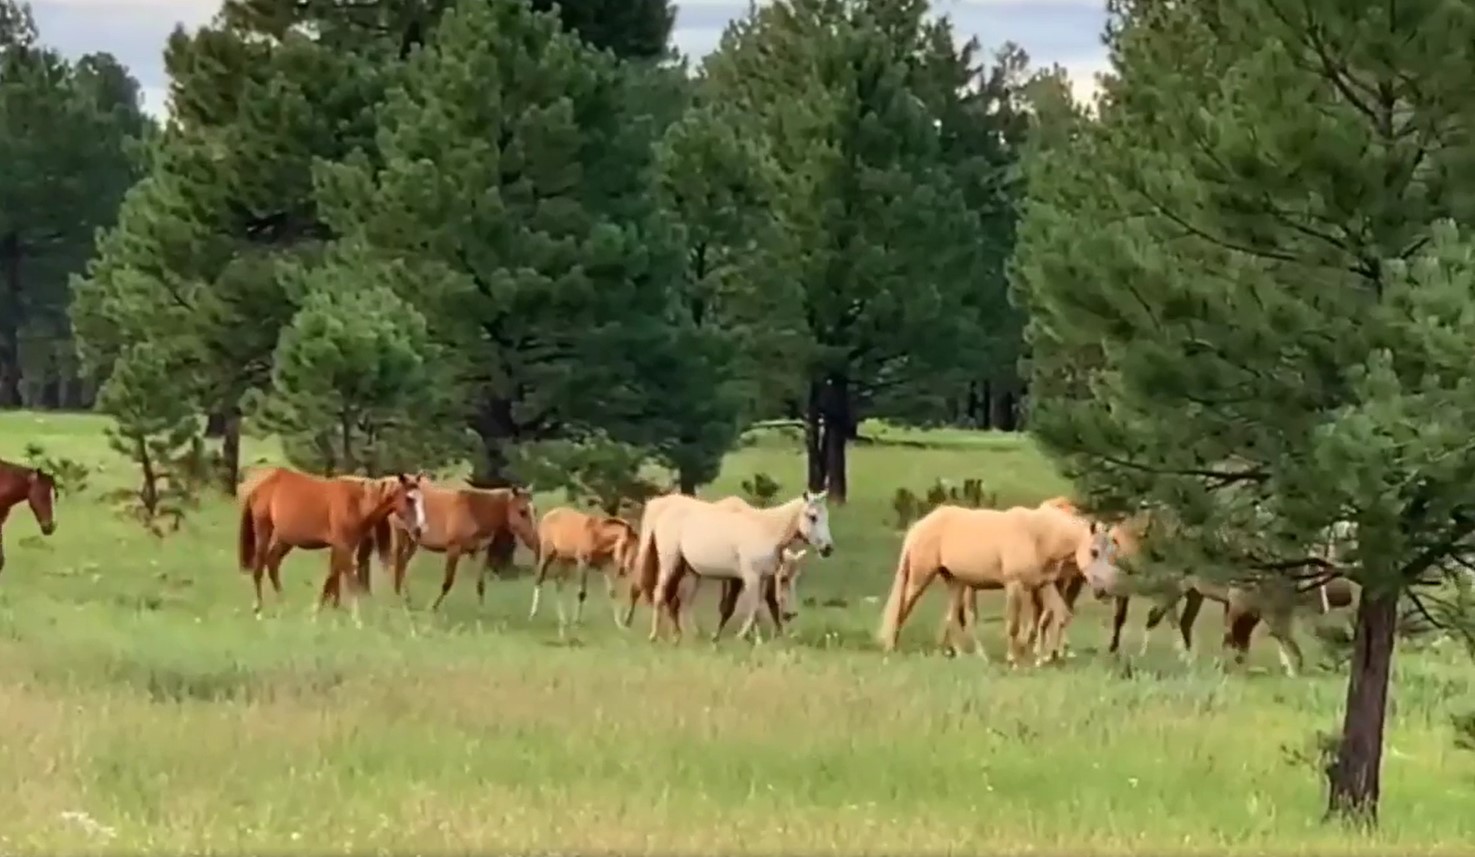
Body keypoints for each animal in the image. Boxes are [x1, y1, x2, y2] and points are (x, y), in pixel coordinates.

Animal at [237, 467, 425, 621]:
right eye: (409, 499)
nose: (420, 529)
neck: (356, 503)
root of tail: (259, 487)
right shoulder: (343, 546)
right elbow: (349, 578)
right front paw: (356, 619)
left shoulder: (344, 546)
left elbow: (332, 576)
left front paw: (318, 612)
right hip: (264, 530)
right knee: (259, 567)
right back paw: (259, 608)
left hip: (286, 539)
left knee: (272, 562)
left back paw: (283, 604)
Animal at [372, 484, 539, 610]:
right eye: (522, 512)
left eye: (535, 510)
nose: (535, 542)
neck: (476, 509)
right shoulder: (454, 549)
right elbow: (447, 582)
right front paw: (433, 607)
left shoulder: (481, 552)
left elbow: (480, 585)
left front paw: (481, 611)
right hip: (400, 536)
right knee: (396, 564)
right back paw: (399, 597)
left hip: (413, 541)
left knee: (401, 565)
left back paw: (405, 598)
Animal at [637, 491, 834, 643]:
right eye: (813, 517)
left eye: (826, 516)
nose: (828, 549)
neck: (766, 529)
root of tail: (661, 507)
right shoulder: (750, 577)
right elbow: (753, 608)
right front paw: (742, 636)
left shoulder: (762, 577)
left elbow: (758, 608)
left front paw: (756, 639)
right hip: (669, 563)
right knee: (660, 594)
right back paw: (654, 636)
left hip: (688, 570)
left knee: (679, 601)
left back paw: (684, 635)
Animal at [878, 504, 1121, 665]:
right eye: (1094, 551)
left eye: (1112, 552)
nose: (1104, 591)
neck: (1038, 536)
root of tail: (919, 525)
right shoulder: (1014, 585)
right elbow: (1013, 624)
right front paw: (1015, 659)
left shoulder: (1044, 585)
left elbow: (1058, 616)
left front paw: (1042, 656)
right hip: (921, 577)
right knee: (905, 607)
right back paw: (892, 646)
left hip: (955, 582)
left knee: (952, 618)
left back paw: (964, 654)